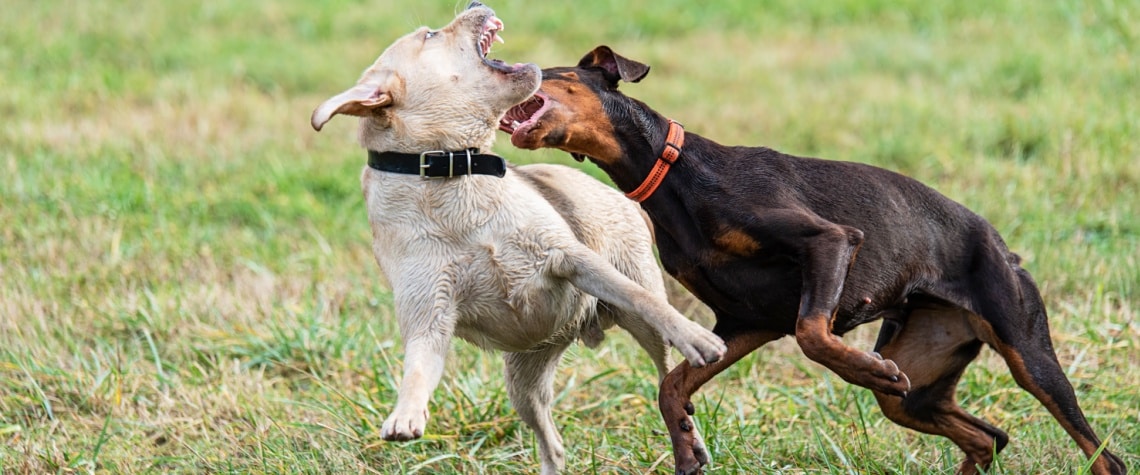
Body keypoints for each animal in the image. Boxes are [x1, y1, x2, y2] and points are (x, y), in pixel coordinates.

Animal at [499, 45, 1121, 473]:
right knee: (986, 437)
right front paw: (685, 445)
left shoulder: (830, 243)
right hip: (919, 384)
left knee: (1100, 454)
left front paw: (861, 366)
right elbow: (673, 385)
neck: (674, 174)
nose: (502, 61)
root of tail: (1003, 246)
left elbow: (814, 334)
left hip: (1025, 351)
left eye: (554, 72)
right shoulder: (747, 320)